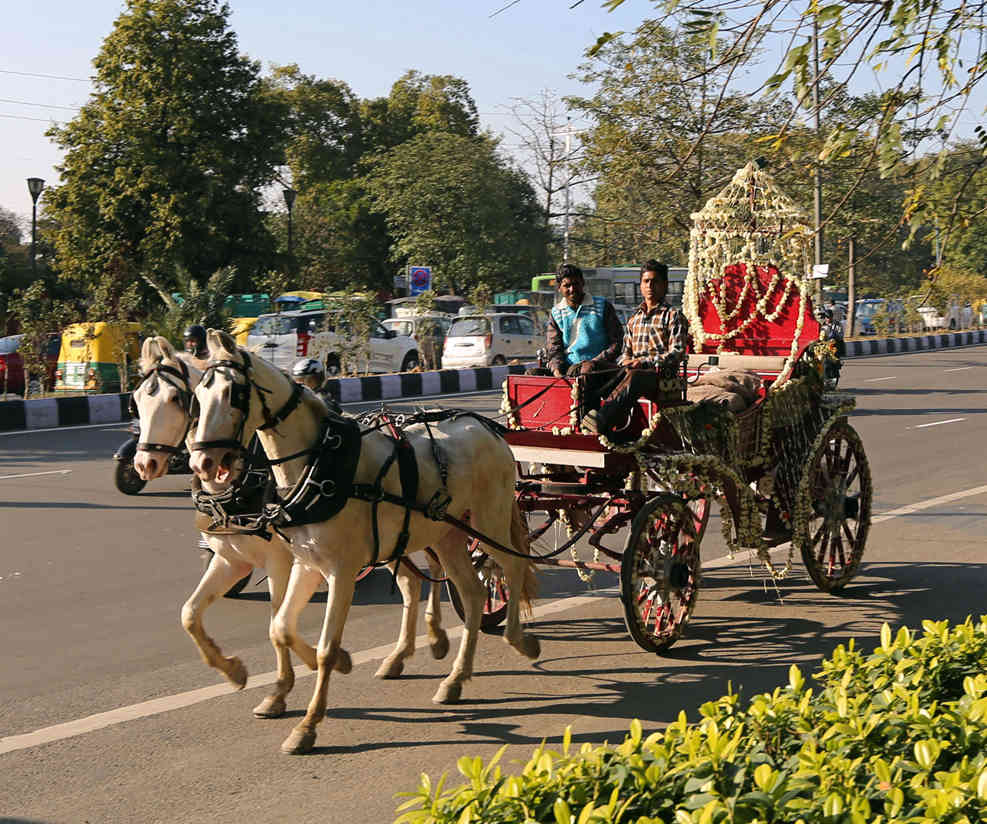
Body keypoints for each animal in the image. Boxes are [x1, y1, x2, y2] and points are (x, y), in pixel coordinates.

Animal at [131, 338, 452, 716]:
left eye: (176, 399)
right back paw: (404, 653)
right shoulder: (231, 559)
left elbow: (277, 622)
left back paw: (434, 637)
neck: (246, 476)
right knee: (412, 581)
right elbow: (190, 614)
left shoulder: (281, 560)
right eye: (137, 399)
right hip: (389, 538)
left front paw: (286, 685)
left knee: (432, 569)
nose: (144, 462)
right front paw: (234, 670)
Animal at [188, 332, 536, 756]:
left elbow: (324, 646)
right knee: (471, 592)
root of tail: (486, 427)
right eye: (198, 397)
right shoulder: (306, 563)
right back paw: (455, 678)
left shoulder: (340, 571)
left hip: (489, 521)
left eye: (233, 394)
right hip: (448, 535)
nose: (202, 464)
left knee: (513, 565)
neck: (319, 464)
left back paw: (519, 639)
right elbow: (281, 627)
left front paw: (308, 724)